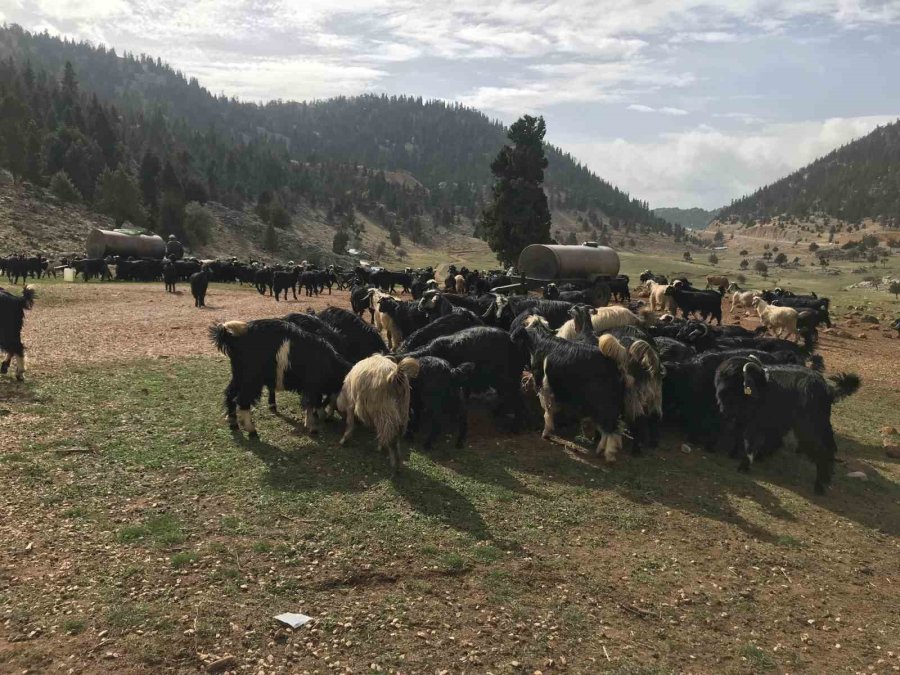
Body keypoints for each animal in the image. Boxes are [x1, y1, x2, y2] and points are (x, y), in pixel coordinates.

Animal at [712, 356, 860, 494]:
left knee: (823, 450)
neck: (760, 386)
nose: (722, 408)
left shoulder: (755, 423)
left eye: (736, 382)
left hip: (810, 428)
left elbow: (750, 444)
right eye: (720, 381)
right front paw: (736, 455)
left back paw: (819, 486)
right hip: (821, 425)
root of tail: (827, 389)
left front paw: (743, 466)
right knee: (830, 448)